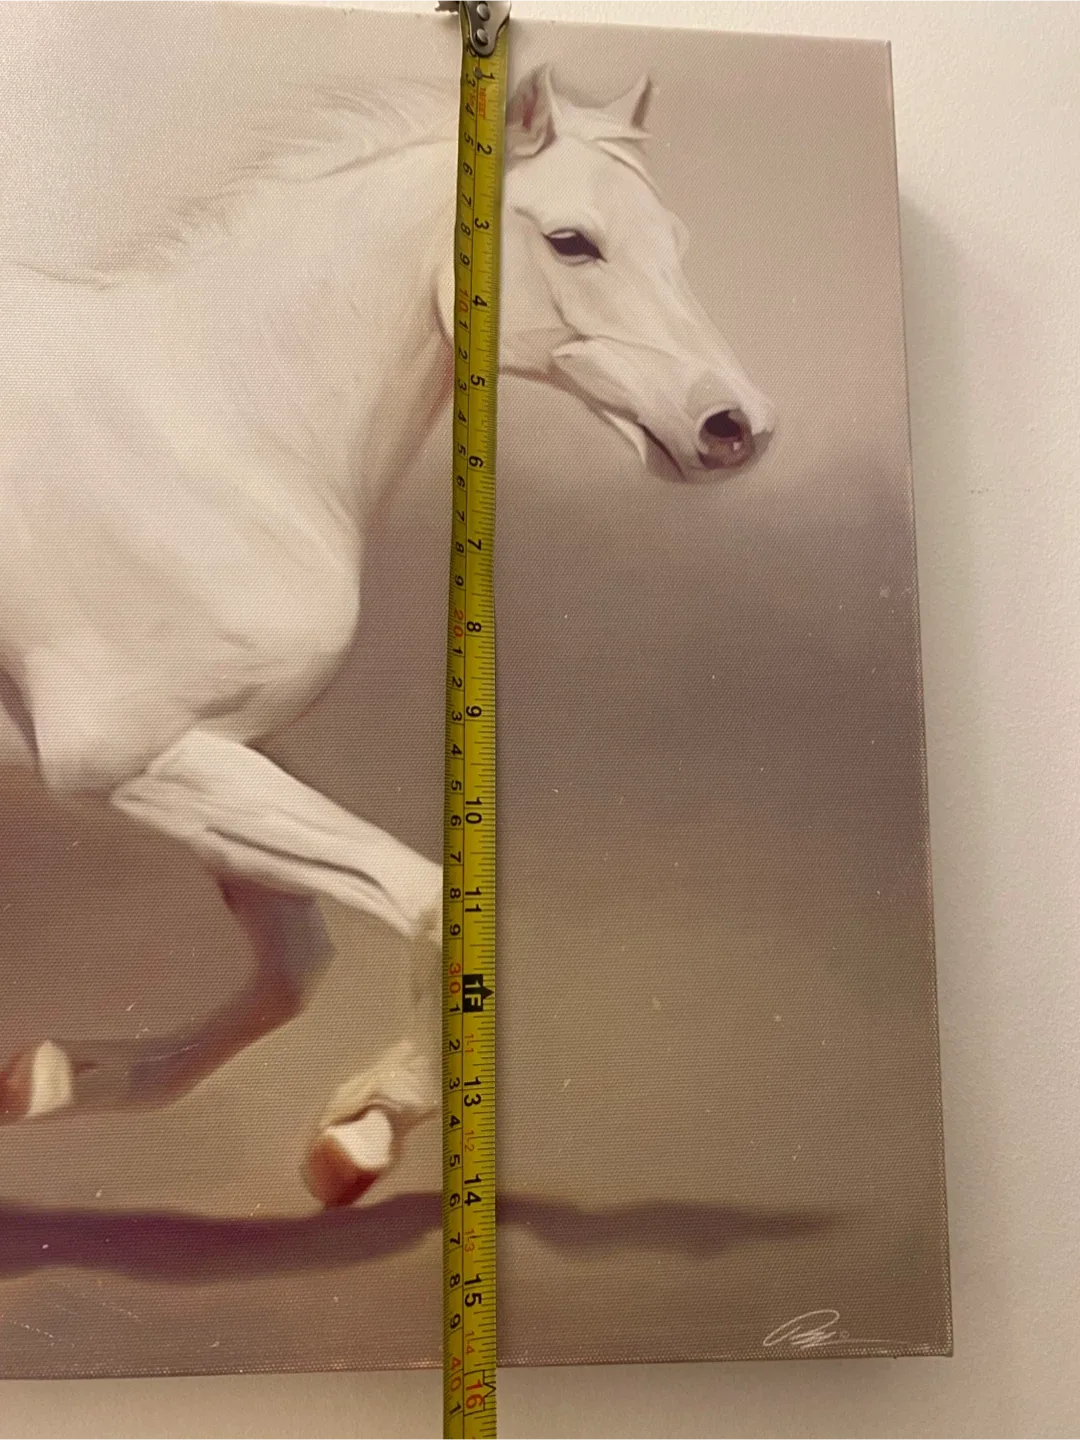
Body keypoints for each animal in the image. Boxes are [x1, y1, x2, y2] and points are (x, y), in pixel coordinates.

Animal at [0, 64, 775, 1206]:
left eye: (675, 239)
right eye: (573, 241)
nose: (733, 427)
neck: (213, 423)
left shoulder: (216, 750)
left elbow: (296, 964)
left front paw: (50, 1079)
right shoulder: (131, 759)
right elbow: (426, 900)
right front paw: (365, 1130)